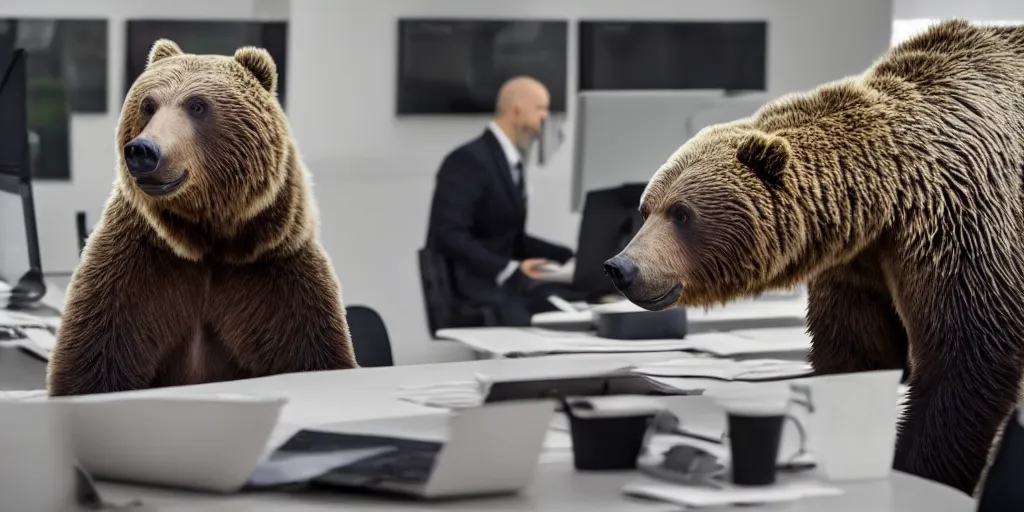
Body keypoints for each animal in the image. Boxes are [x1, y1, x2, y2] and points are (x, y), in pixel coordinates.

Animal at [48, 39, 360, 397]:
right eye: (148, 104)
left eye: (197, 105)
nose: (143, 151)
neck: (207, 240)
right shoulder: (133, 271)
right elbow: (94, 359)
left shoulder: (275, 270)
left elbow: (309, 348)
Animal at [606, 18, 1024, 493]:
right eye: (647, 208)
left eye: (681, 212)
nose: (621, 267)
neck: (888, 199)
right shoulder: (859, 269)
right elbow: (856, 354)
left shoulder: (962, 223)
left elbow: (966, 359)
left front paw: (917, 467)